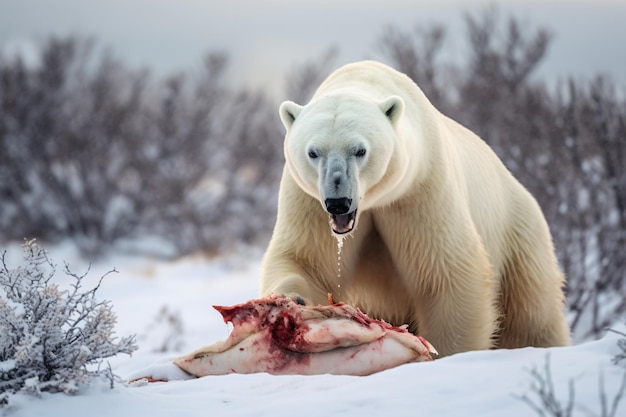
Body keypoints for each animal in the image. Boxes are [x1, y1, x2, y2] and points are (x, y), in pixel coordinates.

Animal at [258, 60, 564, 356]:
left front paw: (449, 353)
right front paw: (291, 299)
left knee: (531, 314)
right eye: (313, 152)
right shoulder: (307, 200)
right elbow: (305, 260)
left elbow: (447, 274)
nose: (338, 202)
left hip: (517, 234)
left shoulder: (419, 189)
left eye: (360, 150)